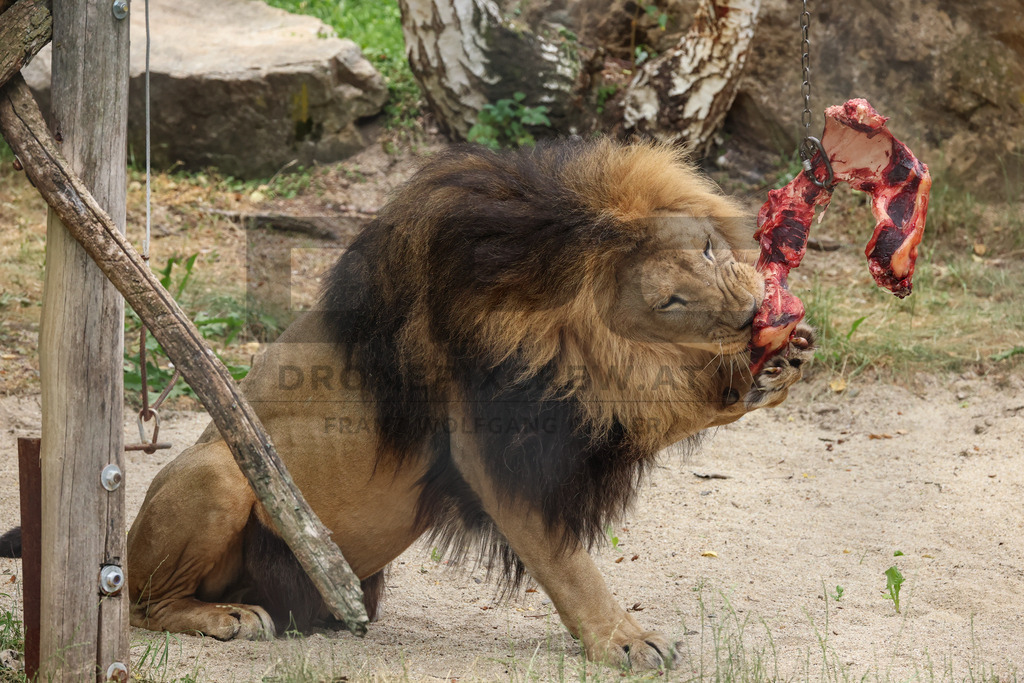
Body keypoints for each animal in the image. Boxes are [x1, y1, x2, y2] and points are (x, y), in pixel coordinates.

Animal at [126, 139, 813, 670]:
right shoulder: (493, 447)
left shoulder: (588, 402)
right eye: (670, 301)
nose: (753, 313)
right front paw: (624, 642)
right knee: (145, 605)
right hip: (215, 473)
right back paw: (229, 616)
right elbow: (569, 566)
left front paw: (773, 366)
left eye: (708, 250)